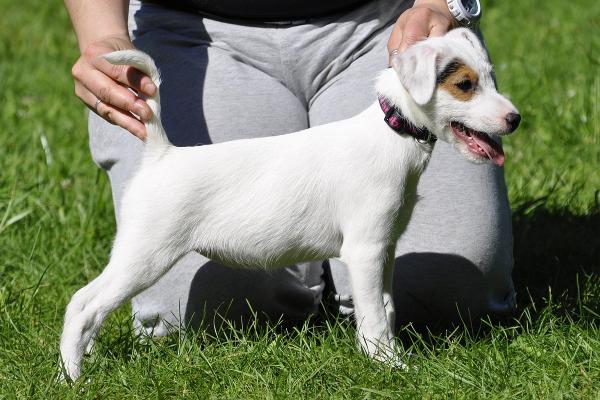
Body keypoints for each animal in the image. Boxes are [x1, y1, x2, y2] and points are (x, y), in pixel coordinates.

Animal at [59, 27, 520, 378]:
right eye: (464, 85)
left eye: (490, 78)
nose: (515, 119)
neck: (393, 134)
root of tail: (162, 155)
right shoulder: (365, 251)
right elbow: (374, 315)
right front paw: (391, 365)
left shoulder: (384, 249)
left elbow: (385, 309)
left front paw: (383, 354)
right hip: (146, 255)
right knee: (83, 305)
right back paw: (73, 376)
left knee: (92, 309)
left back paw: (88, 358)